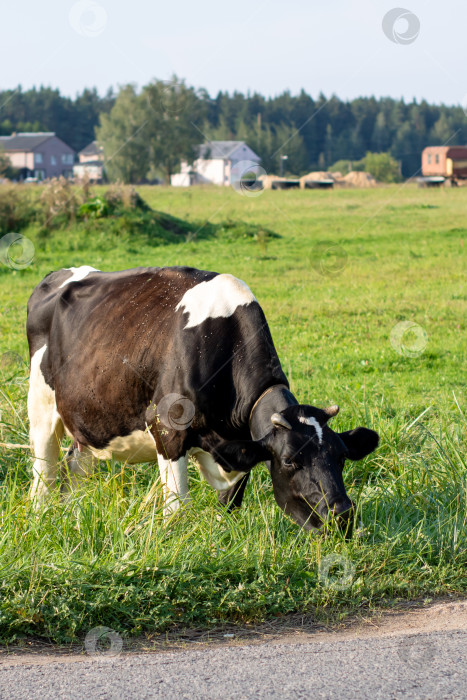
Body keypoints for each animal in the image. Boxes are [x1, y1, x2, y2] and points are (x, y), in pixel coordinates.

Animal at [26, 266, 380, 532]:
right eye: (290, 460)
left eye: (341, 456)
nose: (342, 514)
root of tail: (59, 275)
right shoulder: (167, 429)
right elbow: (177, 507)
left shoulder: (240, 445)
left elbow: (231, 502)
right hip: (40, 408)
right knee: (44, 475)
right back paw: (42, 519)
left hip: (90, 422)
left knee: (73, 469)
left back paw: (73, 515)